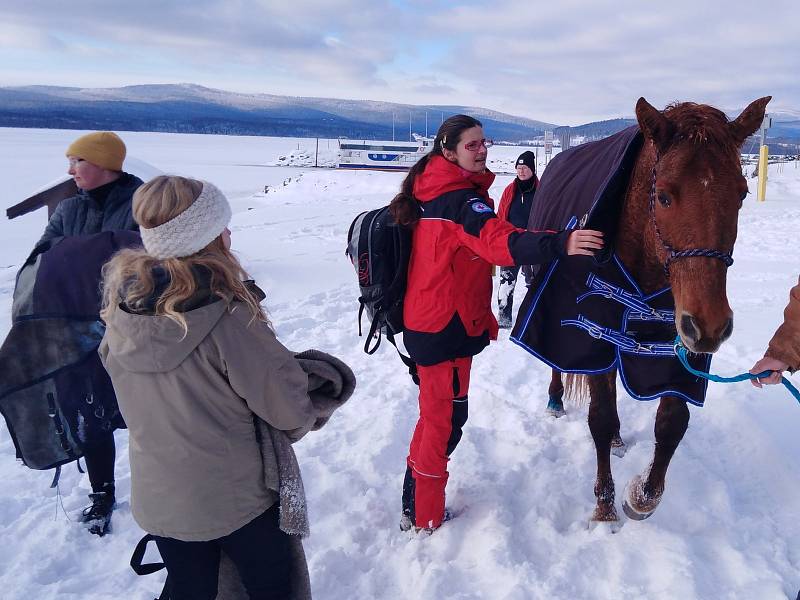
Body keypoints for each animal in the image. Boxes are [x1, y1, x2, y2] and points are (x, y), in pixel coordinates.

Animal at [556, 96, 768, 524]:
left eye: (741, 193)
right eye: (664, 196)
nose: (709, 326)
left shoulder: (680, 348)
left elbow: (672, 424)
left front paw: (641, 496)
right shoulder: (596, 335)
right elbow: (598, 418)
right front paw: (605, 505)